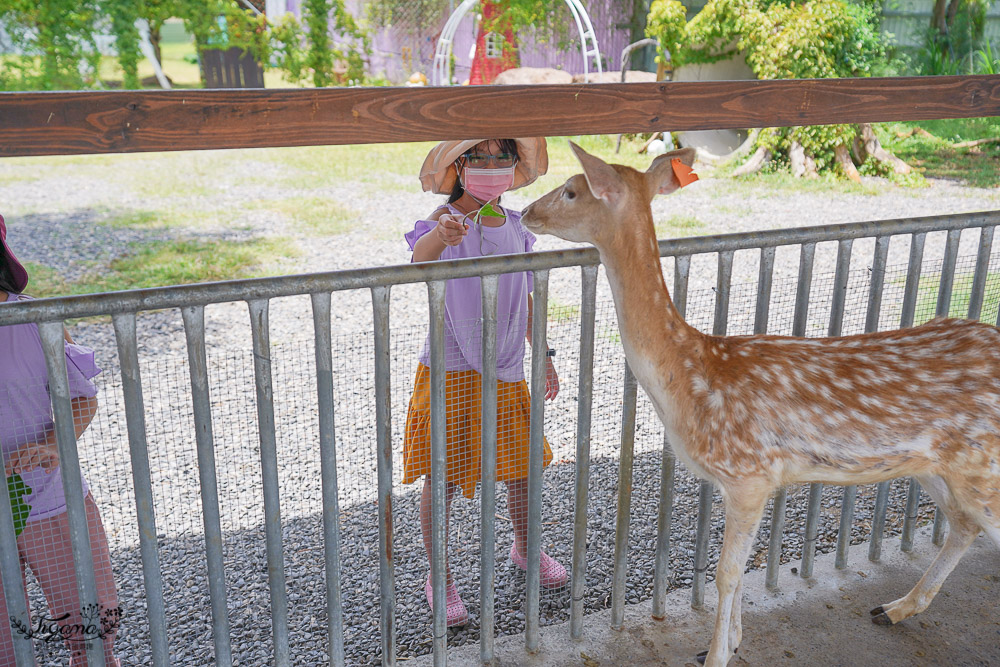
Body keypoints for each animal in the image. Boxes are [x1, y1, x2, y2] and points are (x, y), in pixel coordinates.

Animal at [520, 144, 1000, 667]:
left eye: (571, 189)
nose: (526, 212)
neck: (691, 376)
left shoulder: (749, 473)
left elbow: (726, 573)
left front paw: (716, 654)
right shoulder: (753, 480)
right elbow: (738, 568)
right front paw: (731, 641)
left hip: (983, 467)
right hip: (936, 464)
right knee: (963, 523)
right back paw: (894, 608)